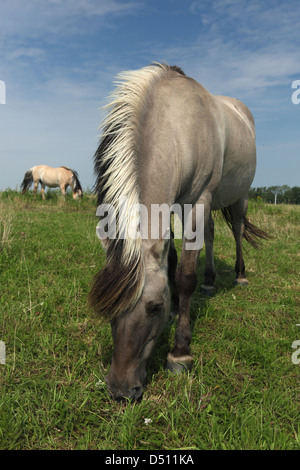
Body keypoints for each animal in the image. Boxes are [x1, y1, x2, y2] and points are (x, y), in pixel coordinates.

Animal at [89, 62, 270, 400]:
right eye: (109, 309)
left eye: (154, 307)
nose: (121, 390)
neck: (178, 123)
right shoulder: (173, 206)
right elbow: (172, 259)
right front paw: (177, 310)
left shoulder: (197, 202)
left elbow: (185, 275)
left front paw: (180, 352)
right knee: (210, 236)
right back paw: (210, 281)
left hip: (240, 197)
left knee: (238, 230)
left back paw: (239, 275)